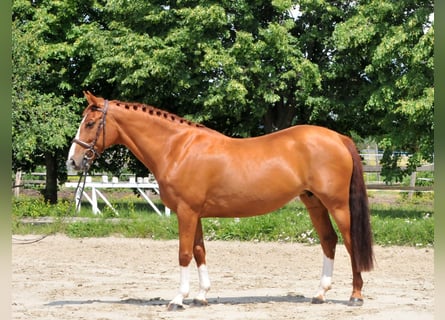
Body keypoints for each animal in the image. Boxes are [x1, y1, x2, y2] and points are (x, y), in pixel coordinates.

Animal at [67, 90, 372, 310]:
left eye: (90, 123)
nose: (73, 161)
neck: (177, 149)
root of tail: (338, 137)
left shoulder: (186, 212)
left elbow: (184, 253)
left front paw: (178, 299)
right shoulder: (194, 214)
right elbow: (199, 251)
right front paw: (201, 296)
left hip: (337, 205)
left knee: (350, 243)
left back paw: (355, 296)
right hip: (314, 203)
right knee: (328, 241)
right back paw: (320, 293)